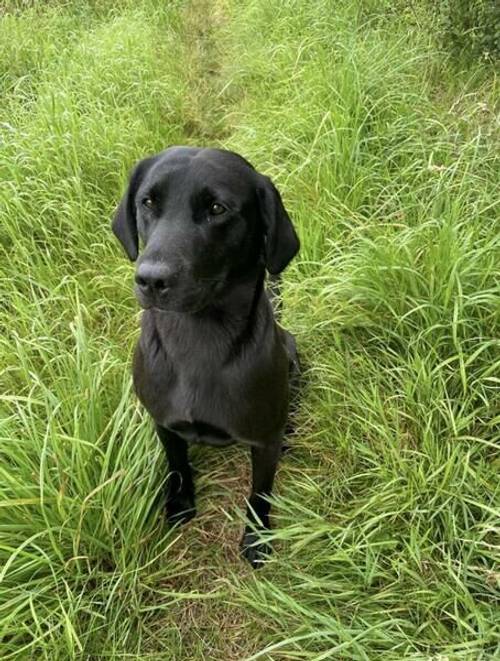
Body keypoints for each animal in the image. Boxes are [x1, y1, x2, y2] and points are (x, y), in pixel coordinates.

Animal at [113, 147, 298, 564]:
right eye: (147, 202)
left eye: (217, 208)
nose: (151, 279)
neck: (196, 338)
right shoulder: (163, 423)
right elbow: (177, 465)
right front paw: (180, 503)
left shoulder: (263, 441)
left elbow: (260, 492)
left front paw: (256, 538)